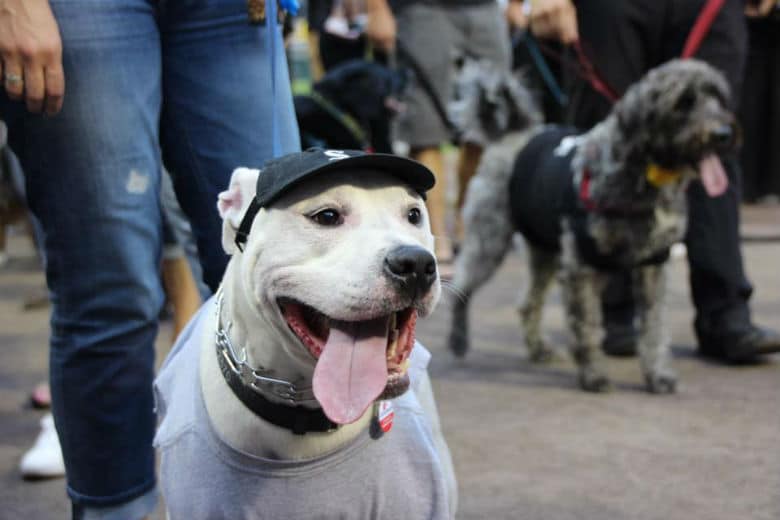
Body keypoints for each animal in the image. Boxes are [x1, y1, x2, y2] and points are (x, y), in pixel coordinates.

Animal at [448, 59, 736, 394]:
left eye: (719, 98)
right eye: (683, 102)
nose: (723, 134)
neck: (641, 173)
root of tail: (512, 134)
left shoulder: (652, 264)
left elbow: (653, 326)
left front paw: (658, 375)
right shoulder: (580, 267)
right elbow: (586, 326)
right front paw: (594, 375)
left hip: (543, 251)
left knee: (528, 303)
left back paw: (538, 349)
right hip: (490, 239)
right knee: (461, 287)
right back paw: (458, 341)